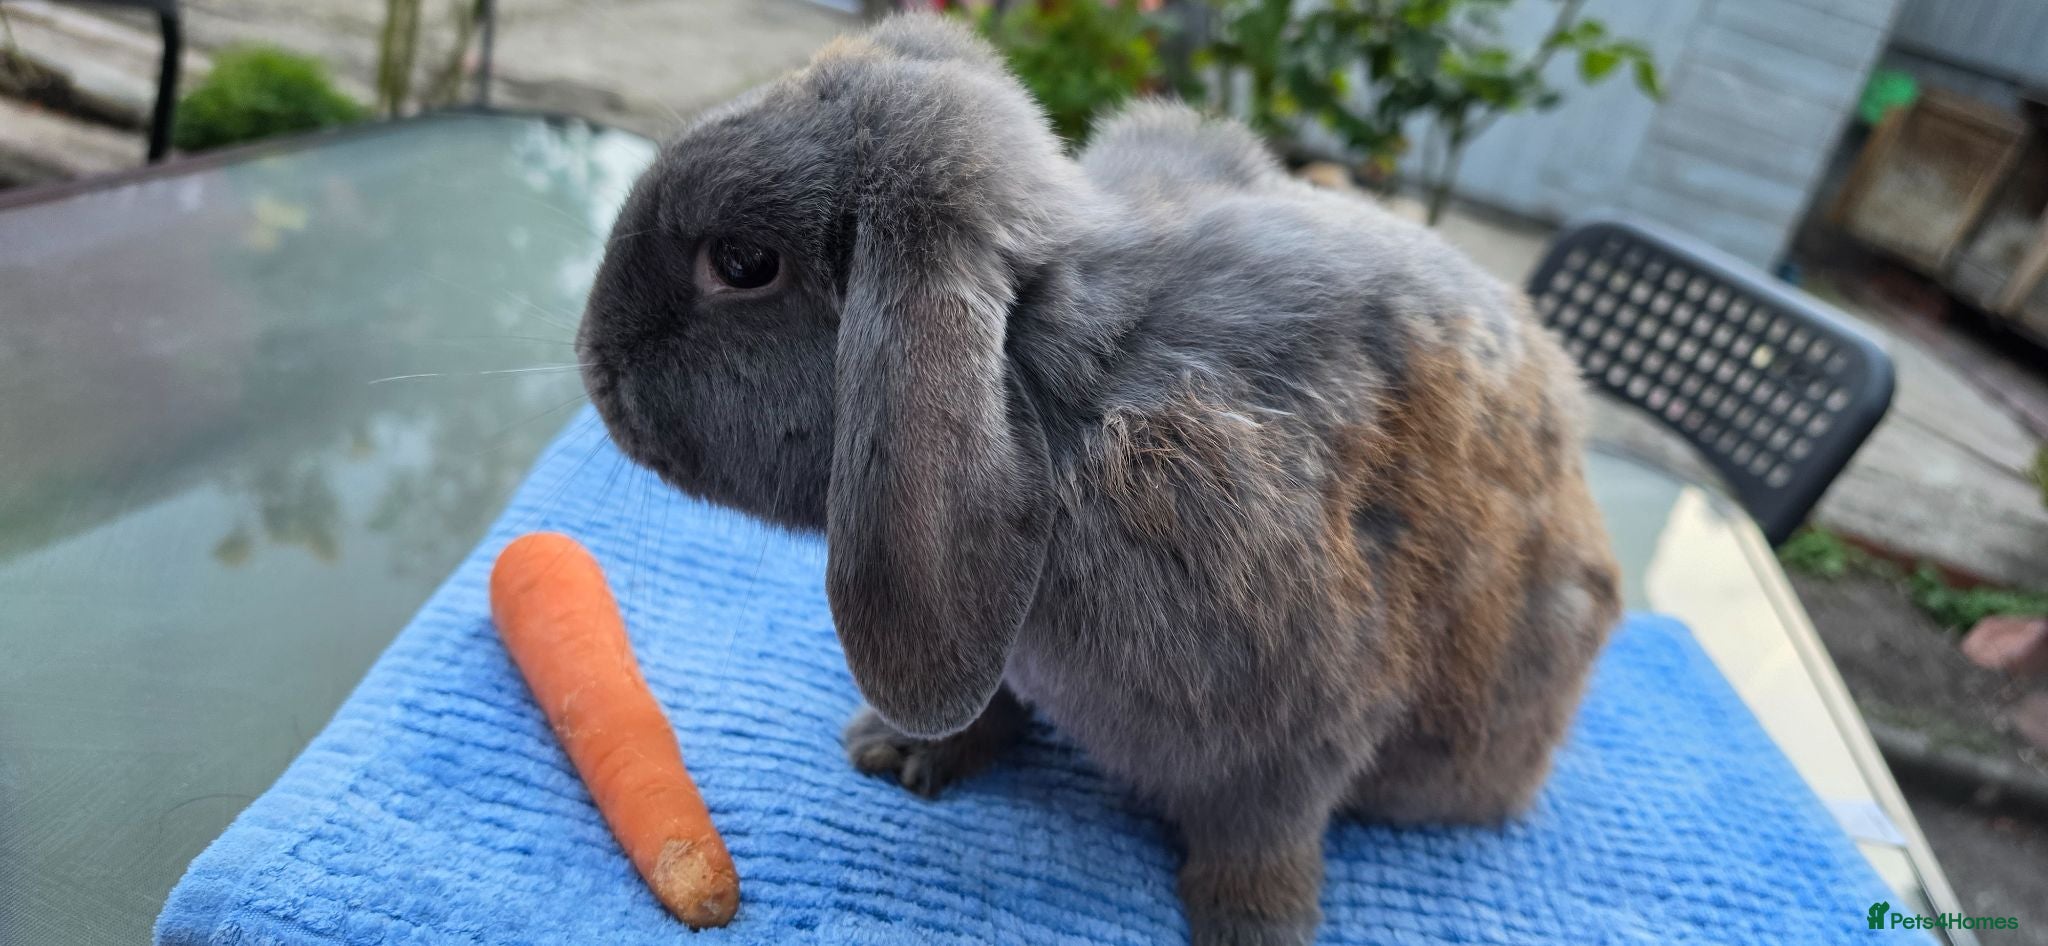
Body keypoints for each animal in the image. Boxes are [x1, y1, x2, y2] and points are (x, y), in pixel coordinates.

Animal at [577, 15, 1621, 946]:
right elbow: (993, 699)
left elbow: (1262, 838)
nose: (593, 363)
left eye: (744, 264)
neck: (1057, 394)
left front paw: (1252, 929)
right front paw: (902, 752)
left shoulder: (1301, 726)